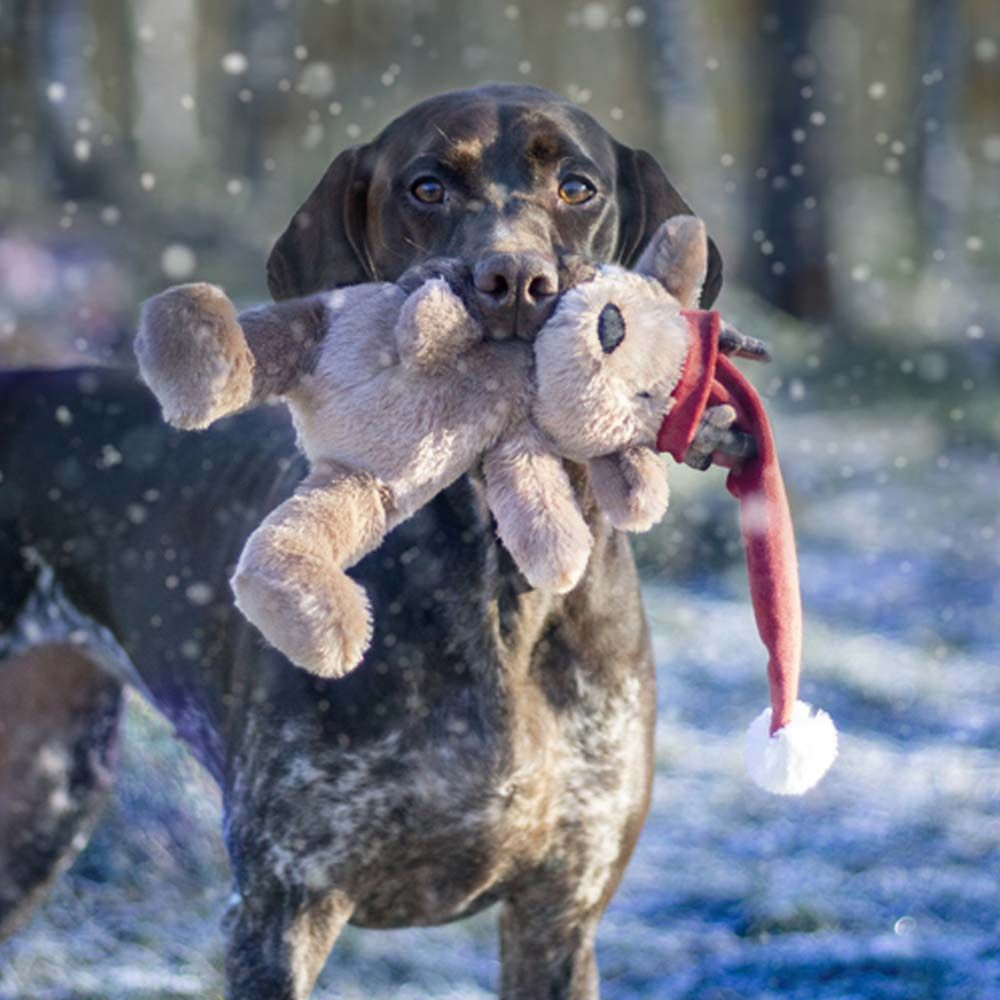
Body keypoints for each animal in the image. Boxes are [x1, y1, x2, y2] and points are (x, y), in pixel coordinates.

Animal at [0, 88, 752, 1000]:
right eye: (426, 187)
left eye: (578, 186)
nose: (513, 281)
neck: (494, 584)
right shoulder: (282, 909)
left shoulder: (559, 915)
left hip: (40, 797)